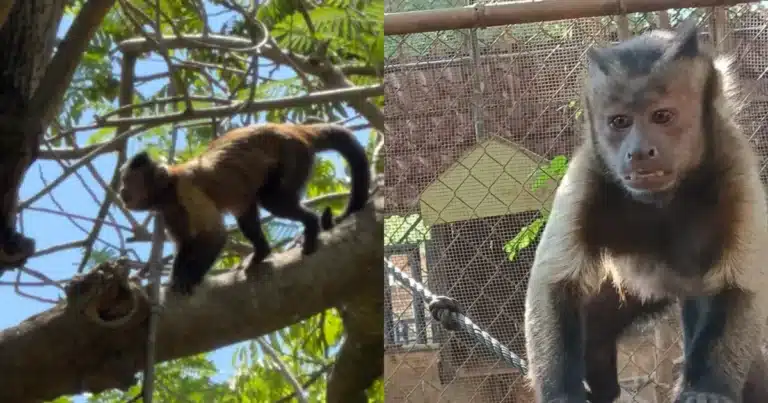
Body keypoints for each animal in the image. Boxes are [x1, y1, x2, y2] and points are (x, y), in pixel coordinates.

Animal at [117, 123, 371, 295]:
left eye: (127, 181)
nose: (121, 191)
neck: (169, 188)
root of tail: (297, 130)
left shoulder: (186, 189)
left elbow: (215, 235)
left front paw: (188, 279)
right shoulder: (168, 209)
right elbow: (186, 242)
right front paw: (176, 278)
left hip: (293, 154)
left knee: (271, 200)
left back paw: (310, 226)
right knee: (246, 212)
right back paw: (262, 252)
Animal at [523, 19, 768, 403]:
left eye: (662, 116)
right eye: (620, 122)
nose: (638, 151)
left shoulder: (734, 161)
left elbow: (739, 286)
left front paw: (707, 389)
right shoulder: (588, 172)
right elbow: (554, 282)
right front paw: (562, 394)